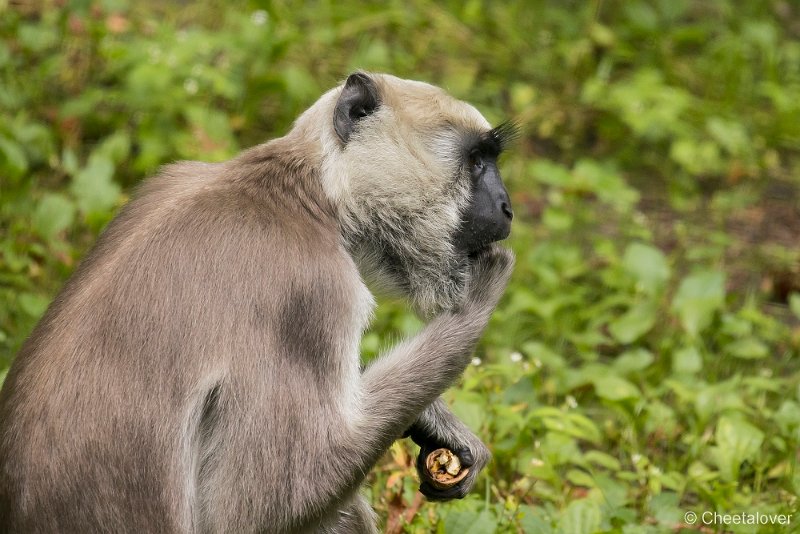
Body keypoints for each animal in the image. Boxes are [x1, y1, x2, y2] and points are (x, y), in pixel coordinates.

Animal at [0, 72, 512, 534]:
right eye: (476, 162)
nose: (507, 208)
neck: (300, 193)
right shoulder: (310, 290)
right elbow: (257, 511)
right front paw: (478, 301)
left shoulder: (171, 178)